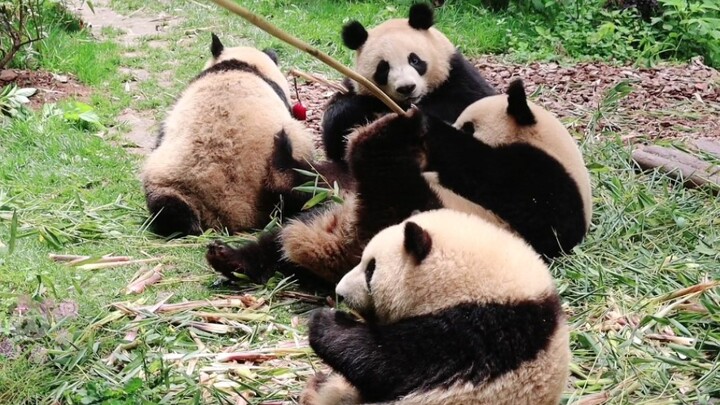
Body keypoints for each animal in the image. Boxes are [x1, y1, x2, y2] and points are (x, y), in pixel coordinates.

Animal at [206, 79, 591, 285]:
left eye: (469, 124)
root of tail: (345, 245)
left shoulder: (547, 184)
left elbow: (504, 182)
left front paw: (424, 125)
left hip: (416, 215)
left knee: (386, 182)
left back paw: (383, 137)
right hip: (331, 210)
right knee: (284, 229)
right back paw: (231, 257)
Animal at [321, 2, 496, 163]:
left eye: (414, 60)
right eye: (383, 68)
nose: (406, 88)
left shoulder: (457, 75)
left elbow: (468, 104)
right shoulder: (354, 85)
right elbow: (335, 131)